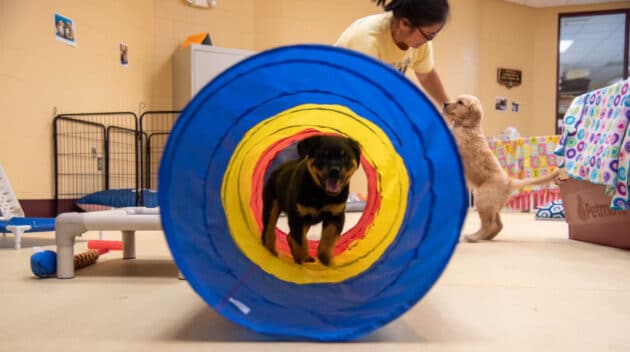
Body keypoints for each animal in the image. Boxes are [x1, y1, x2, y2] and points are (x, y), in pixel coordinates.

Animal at [260, 135, 360, 266]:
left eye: (345, 157)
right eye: (323, 156)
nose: (334, 170)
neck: (321, 193)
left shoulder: (336, 216)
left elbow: (328, 238)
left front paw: (326, 259)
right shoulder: (297, 217)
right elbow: (300, 241)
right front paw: (301, 260)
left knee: (289, 236)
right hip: (271, 206)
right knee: (269, 231)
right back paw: (272, 253)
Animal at [442, 93, 560, 242]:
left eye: (460, 102)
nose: (445, 103)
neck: (468, 126)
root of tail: (509, 181)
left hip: (483, 199)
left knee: (489, 224)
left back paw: (474, 237)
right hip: (492, 205)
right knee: (498, 224)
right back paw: (485, 237)